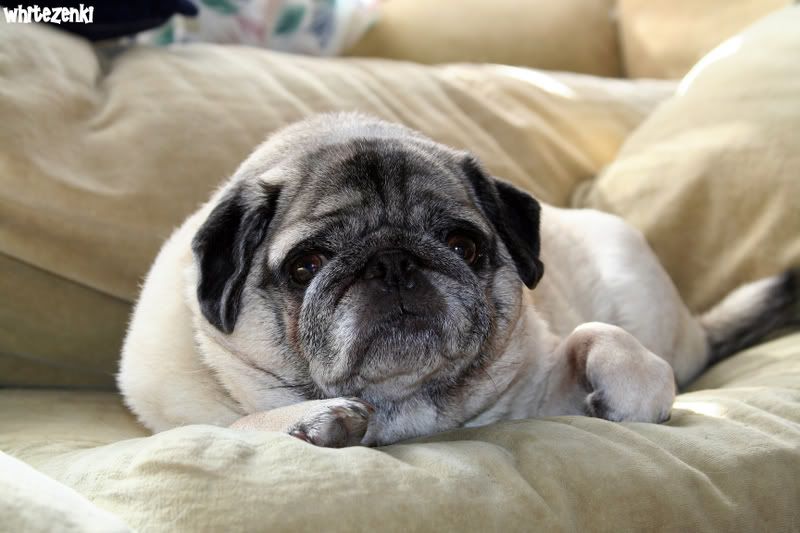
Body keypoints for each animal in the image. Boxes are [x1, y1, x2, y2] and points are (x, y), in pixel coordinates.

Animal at [118, 113, 798, 447]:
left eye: (462, 245)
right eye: (306, 265)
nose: (393, 263)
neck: (406, 411)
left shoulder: (546, 379)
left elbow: (599, 338)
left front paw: (628, 392)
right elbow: (226, 426)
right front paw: (306, 421)